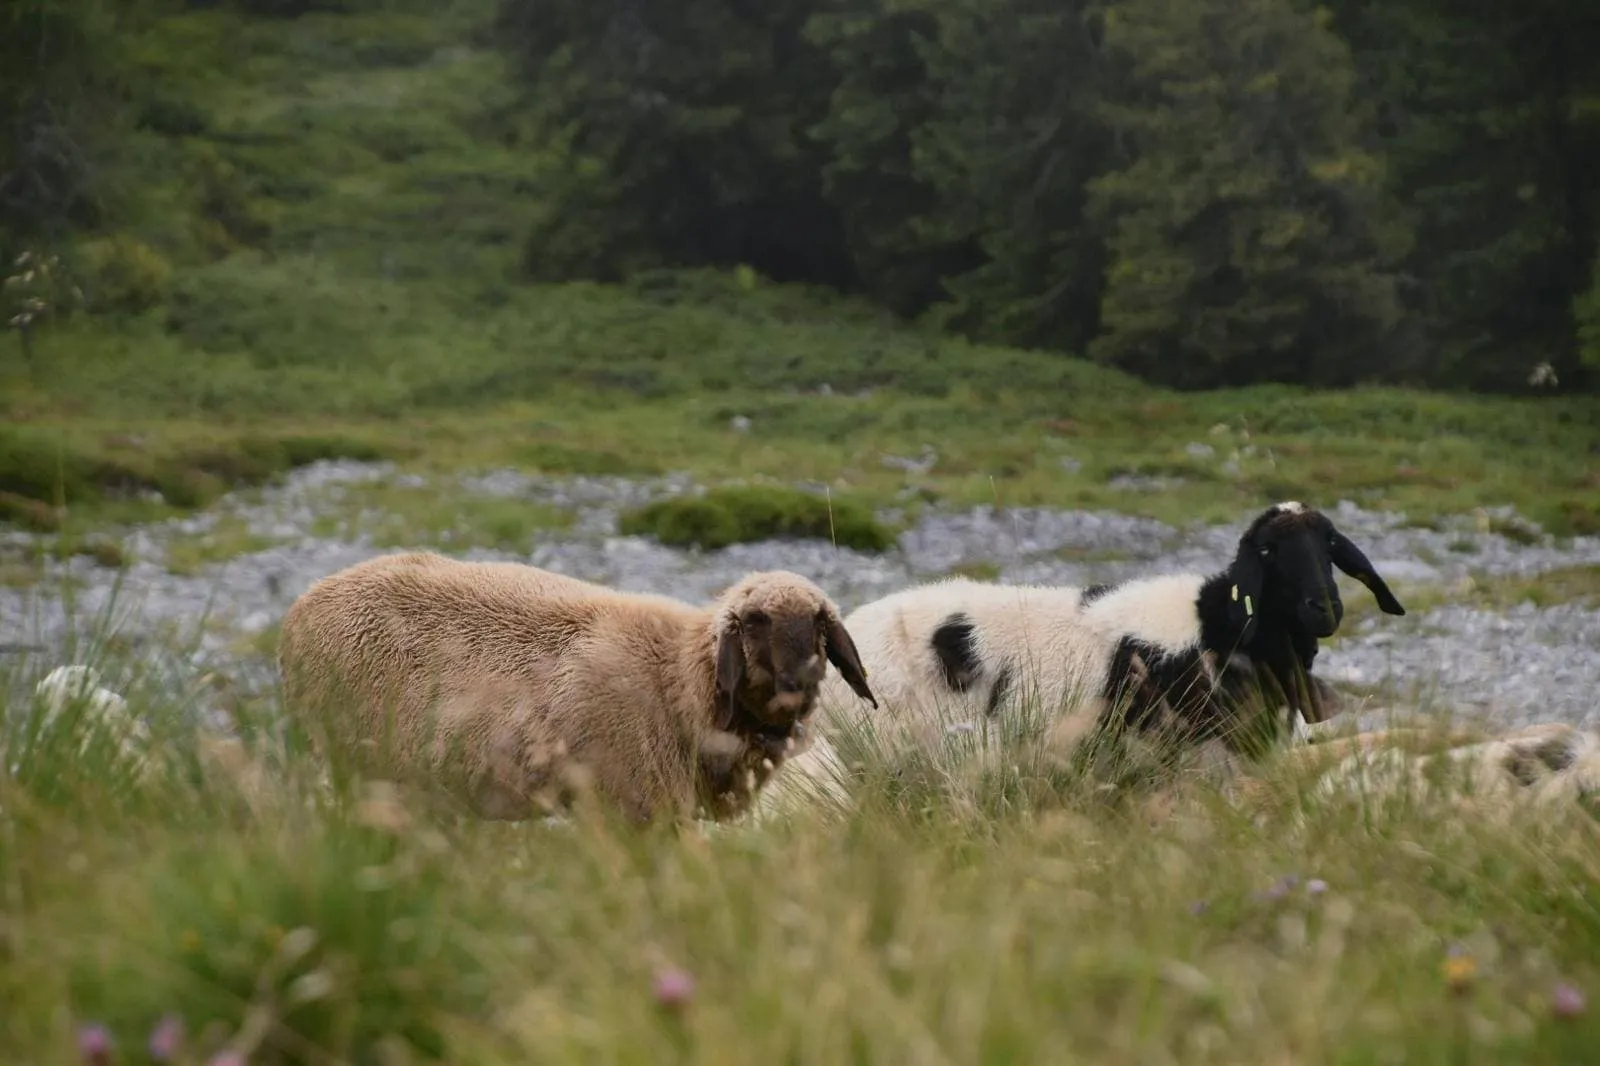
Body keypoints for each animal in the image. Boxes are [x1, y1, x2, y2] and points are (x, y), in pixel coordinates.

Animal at [275, 550, 876, 825]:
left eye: (821, 623)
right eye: (753, 621)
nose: (798, 683)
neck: (679, 672)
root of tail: (303, 607)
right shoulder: (635, 809)